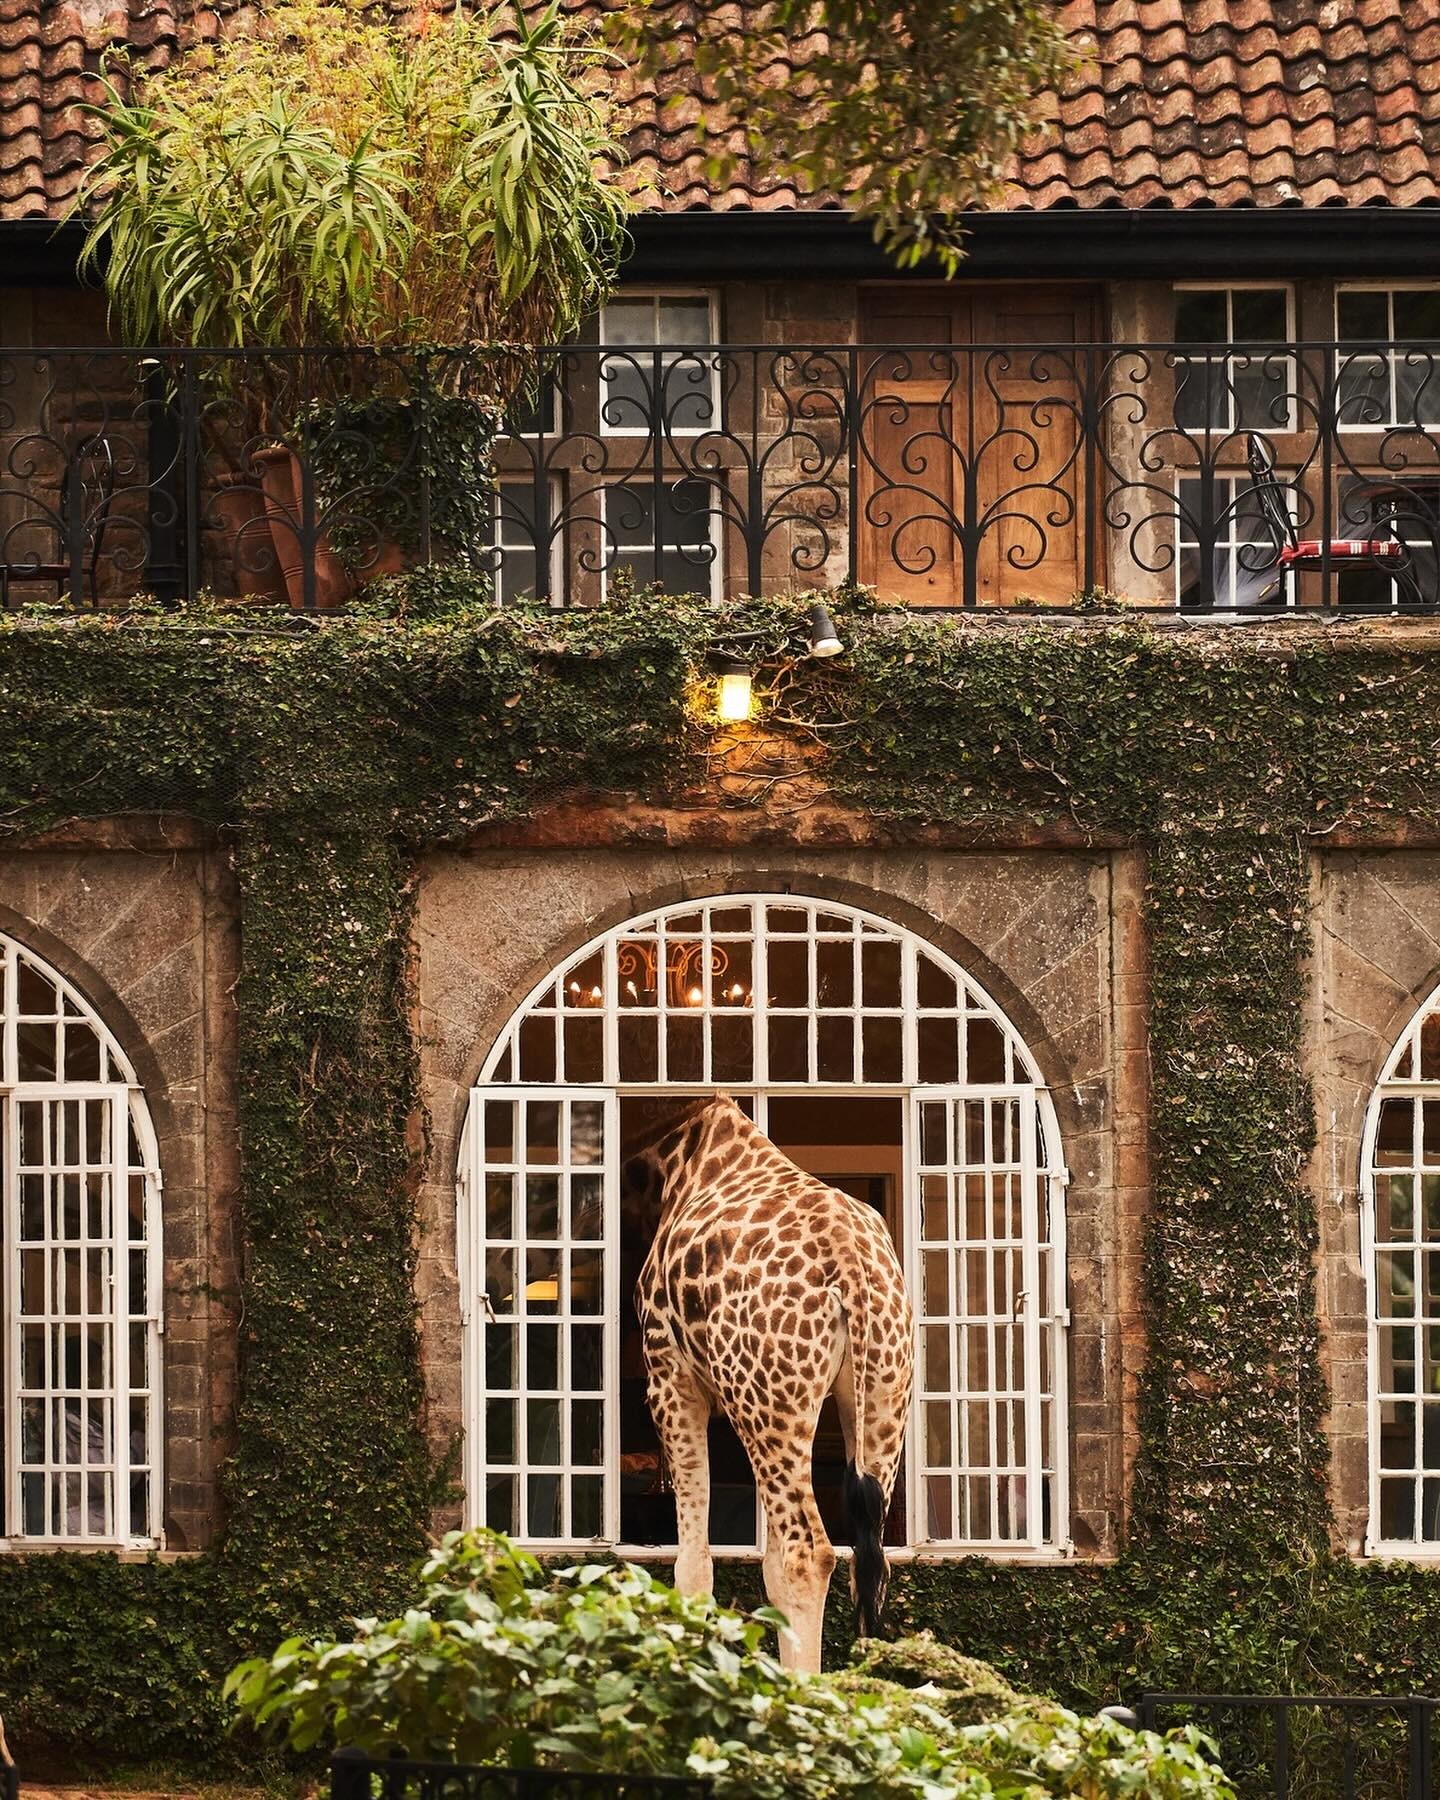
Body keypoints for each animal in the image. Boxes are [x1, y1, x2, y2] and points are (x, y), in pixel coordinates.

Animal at [624, 1094, 914, 1674]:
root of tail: (851, 1265)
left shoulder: (670, 1378)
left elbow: (692, 1566)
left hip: (767, 1400)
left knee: (808, 1553)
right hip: (882, 1395)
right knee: (867, 1563)